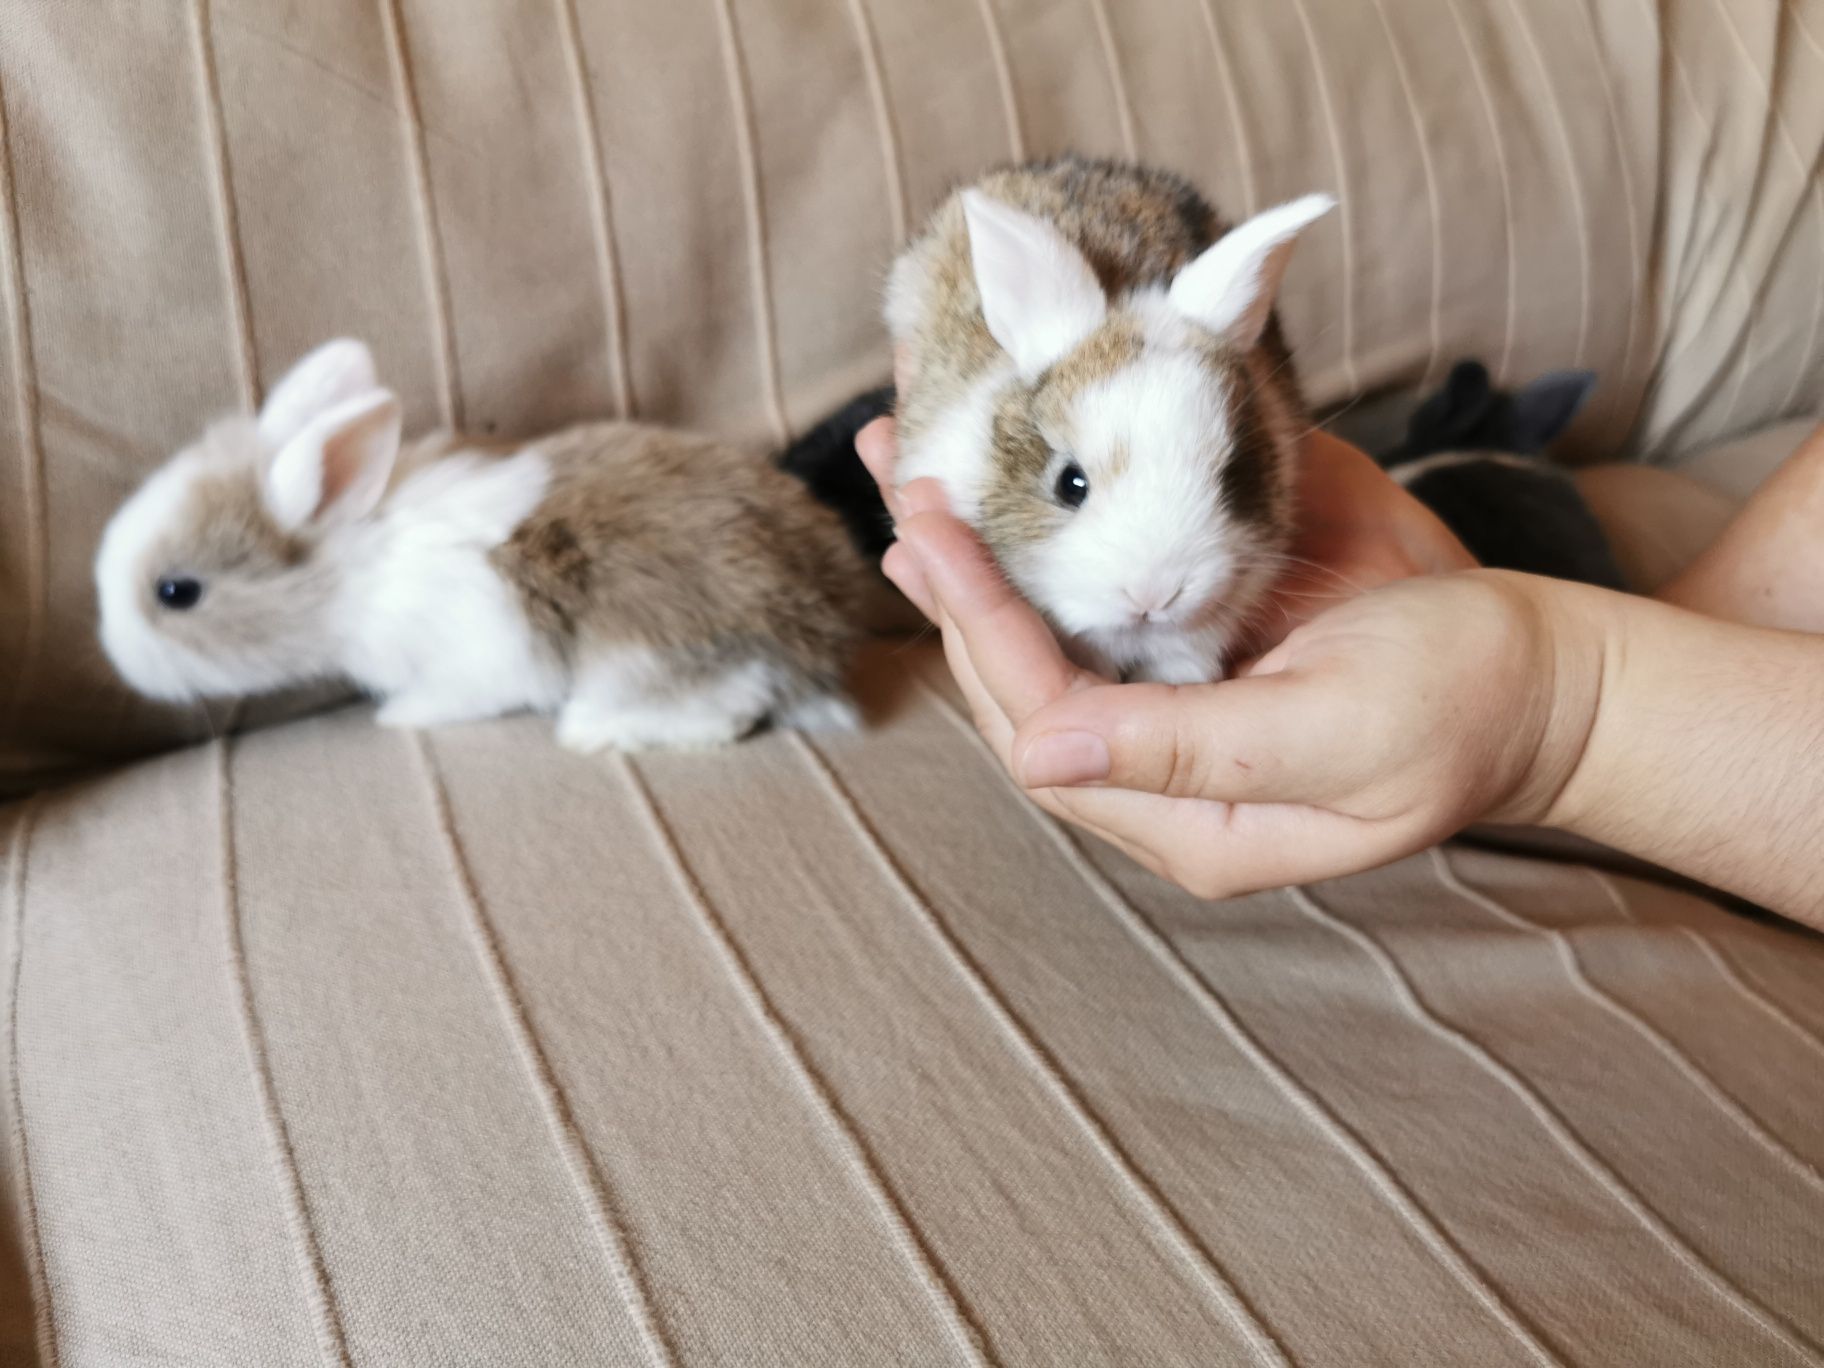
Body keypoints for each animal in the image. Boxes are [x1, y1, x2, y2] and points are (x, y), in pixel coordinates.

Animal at [96, 339, 864, 755]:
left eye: (177, 592)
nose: (117, 658)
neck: (358, 568)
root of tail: (824, 626)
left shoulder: (476, 656)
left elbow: (454, 695)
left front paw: (397, 715)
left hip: (656, 645)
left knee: (727, 706)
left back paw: (593, 731)